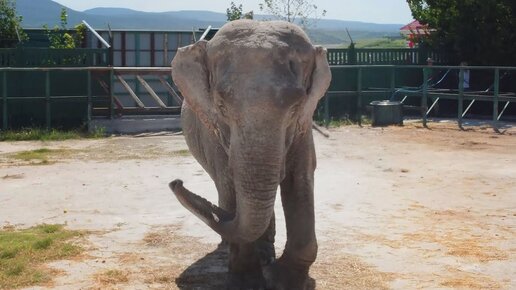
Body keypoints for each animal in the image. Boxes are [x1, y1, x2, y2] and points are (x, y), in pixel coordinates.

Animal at [169, 19, 330, 288]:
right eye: (221, 106)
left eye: (296, 107)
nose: (176, 182)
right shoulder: (213, 129)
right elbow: (230, 179)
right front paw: (246, 282)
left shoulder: (304, 123)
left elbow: (300, 177)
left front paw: (285, 280)